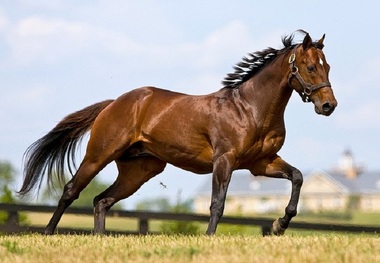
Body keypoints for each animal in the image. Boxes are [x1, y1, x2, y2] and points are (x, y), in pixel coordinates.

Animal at [19, 29, 336, 236]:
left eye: (328, 67)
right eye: (310, 67)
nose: (328, 105)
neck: (249, 108)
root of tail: (114, 103)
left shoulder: (261, 163)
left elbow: (297, 177)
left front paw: (278, 225)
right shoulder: (225, 160)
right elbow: (217, 204)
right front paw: (209, 238)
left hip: (140, 170)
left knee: (101, 201)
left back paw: (99, 239)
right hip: (99, 155)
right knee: (72, 190)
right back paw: (47, 233)